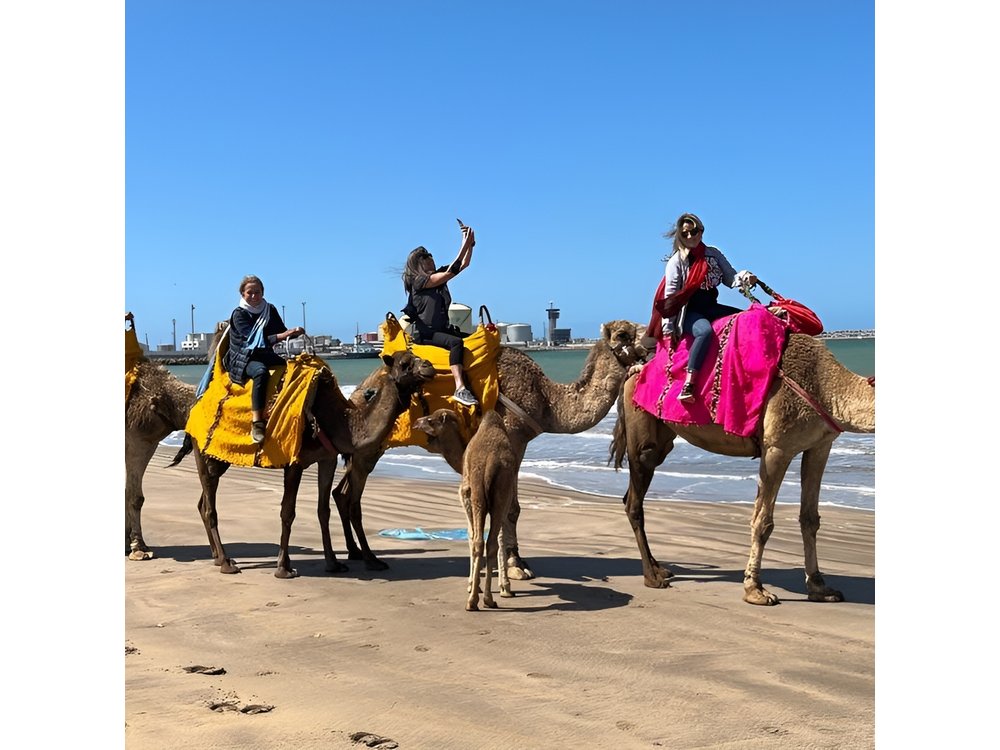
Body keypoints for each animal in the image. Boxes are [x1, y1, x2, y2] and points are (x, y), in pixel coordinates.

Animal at [192, 349, 436, 578]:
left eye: (416, 355)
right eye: (404, 363)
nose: (429, 366)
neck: (339, 421)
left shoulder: (327, 458)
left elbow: (323, 510)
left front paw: (333, 564)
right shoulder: (295, 462)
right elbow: (288, 511)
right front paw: (283, 568)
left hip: (219, 459)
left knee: (203, 502)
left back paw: (218, 558)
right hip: (205, 454)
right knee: (210, 508)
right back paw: (226, 563)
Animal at [332, 320, 646, 580]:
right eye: (623, 333)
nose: (650, 340)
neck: (547, 400)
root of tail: (360, 390)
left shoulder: (519, 443)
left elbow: (510, 506)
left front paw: (514, 562)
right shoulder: (513, 437)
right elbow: (511, 507)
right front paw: (516, 566)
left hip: (366, 451)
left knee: (342, 493)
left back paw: (356, 553)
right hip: (367, 449)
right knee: (352, 497)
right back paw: (369, 559)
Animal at [610, 332, 875, 605]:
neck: (825, 386)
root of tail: (632, 372)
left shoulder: (820, 446)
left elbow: (810, 519)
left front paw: (820, 588)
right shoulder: (776, 448)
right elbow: (762, 521)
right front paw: (755, 590)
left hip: (663, 437)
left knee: (632, 494)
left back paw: (660, 568)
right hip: (641, 435)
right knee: (635, 498)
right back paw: (652, 577)